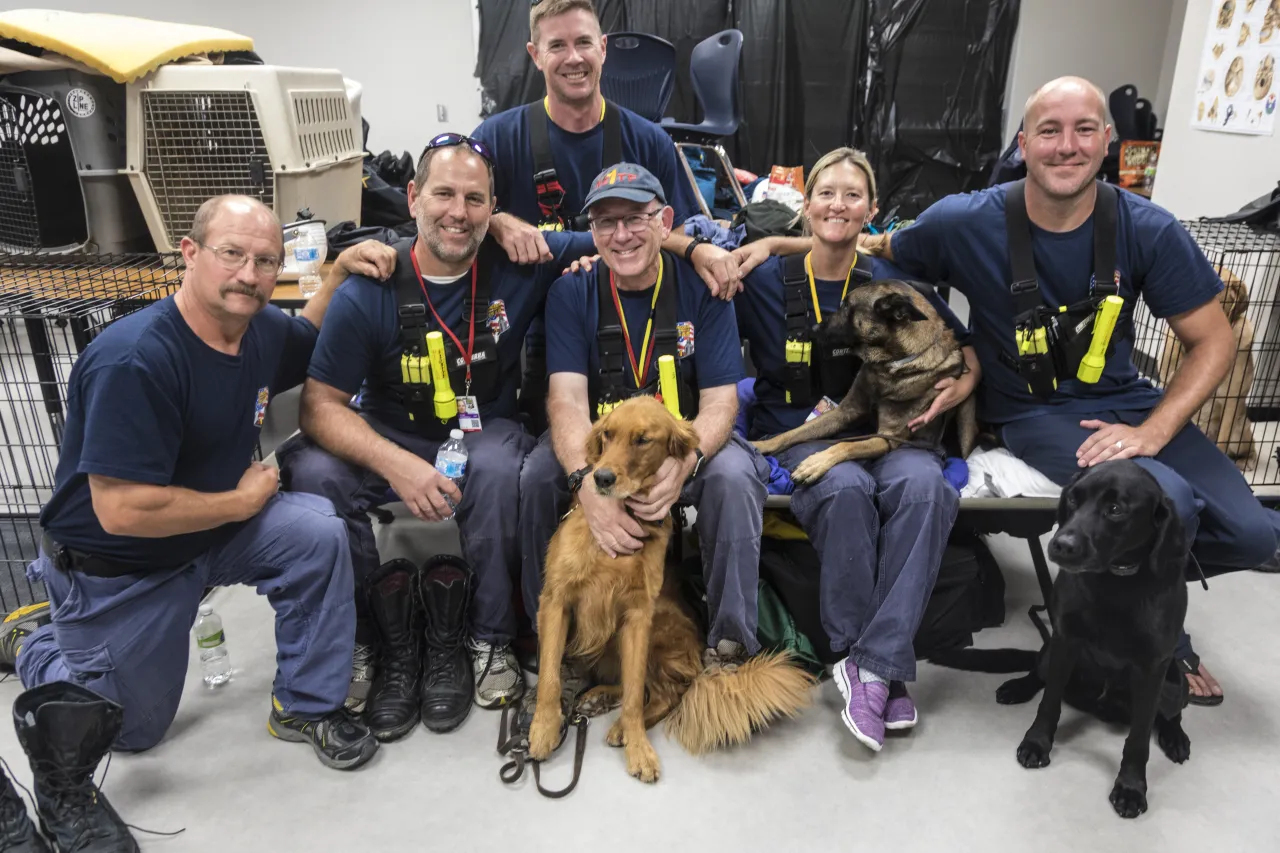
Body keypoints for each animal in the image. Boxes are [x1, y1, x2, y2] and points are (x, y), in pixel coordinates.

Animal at [527, 394, 808, 778]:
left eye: (643, 440)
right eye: (608, 435)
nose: (601, 477)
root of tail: (700, 662)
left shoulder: (638, 615)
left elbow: (634, 695)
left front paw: (639, 749)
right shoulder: (555, 600)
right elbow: (549, 677)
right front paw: (543, 728)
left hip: (659, 628)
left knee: (664, 694)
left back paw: (623, 726)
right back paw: (599, 696)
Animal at [752, 280, 972, 473]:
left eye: (847, 306)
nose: (812, 329)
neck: (892, 367)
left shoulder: (886, 439)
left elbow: (846, 446)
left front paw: (816, 463)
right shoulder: (844, 412)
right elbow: (791, 433)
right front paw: (760, 445)